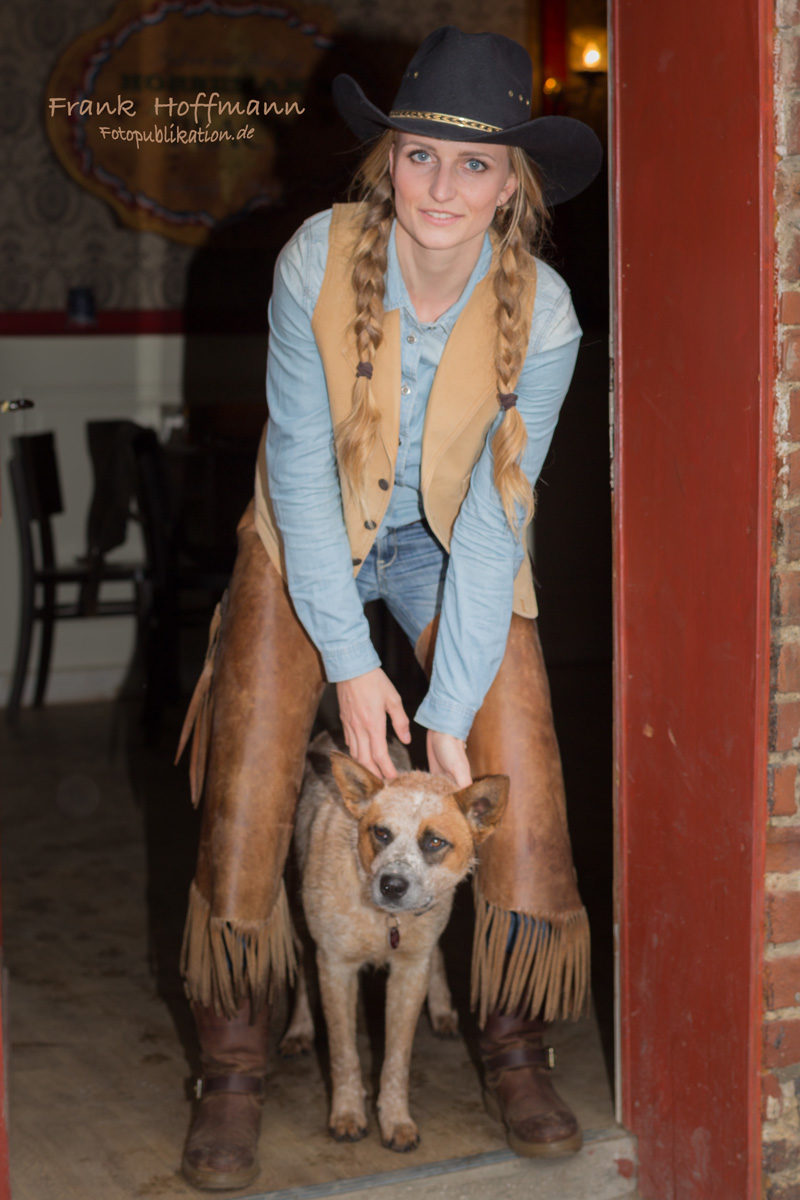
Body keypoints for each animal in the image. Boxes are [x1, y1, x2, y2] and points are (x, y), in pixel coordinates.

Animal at [281, 729, 506, 1152]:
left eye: (434, 842)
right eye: (381, 833)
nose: (392, 885)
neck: (384, 920)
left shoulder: (409, 969)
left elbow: (397, 1059)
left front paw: (396, 1120)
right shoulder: (335, 965)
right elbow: (344, 1054)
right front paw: (347, 1115)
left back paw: (443, 1010)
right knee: (301, 972)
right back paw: (298, 1031)